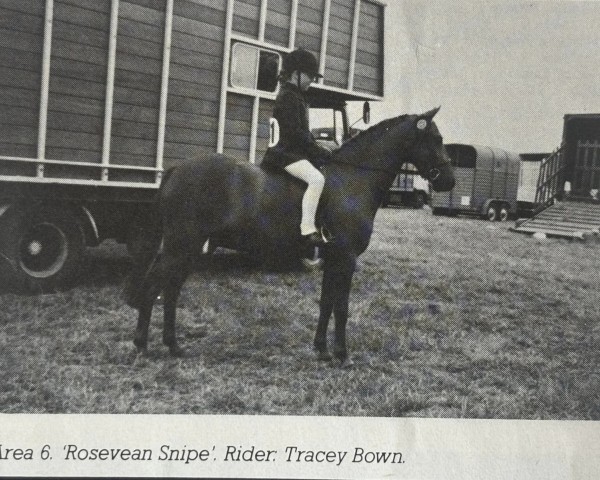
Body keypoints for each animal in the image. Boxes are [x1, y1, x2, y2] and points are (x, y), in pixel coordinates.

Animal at [125, 107, 454, 366]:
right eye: (436, 139)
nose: (449, 181)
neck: (353, 180)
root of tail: (177, 169)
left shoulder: (332, 258)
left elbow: (326, 303)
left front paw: (322, 350)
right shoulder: (346, 258)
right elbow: (342, 307)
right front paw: (342, 354)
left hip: (189, 249)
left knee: (170, 290)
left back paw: (173, 346)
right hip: (179, 247)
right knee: (155, 286)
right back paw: (142, 346)